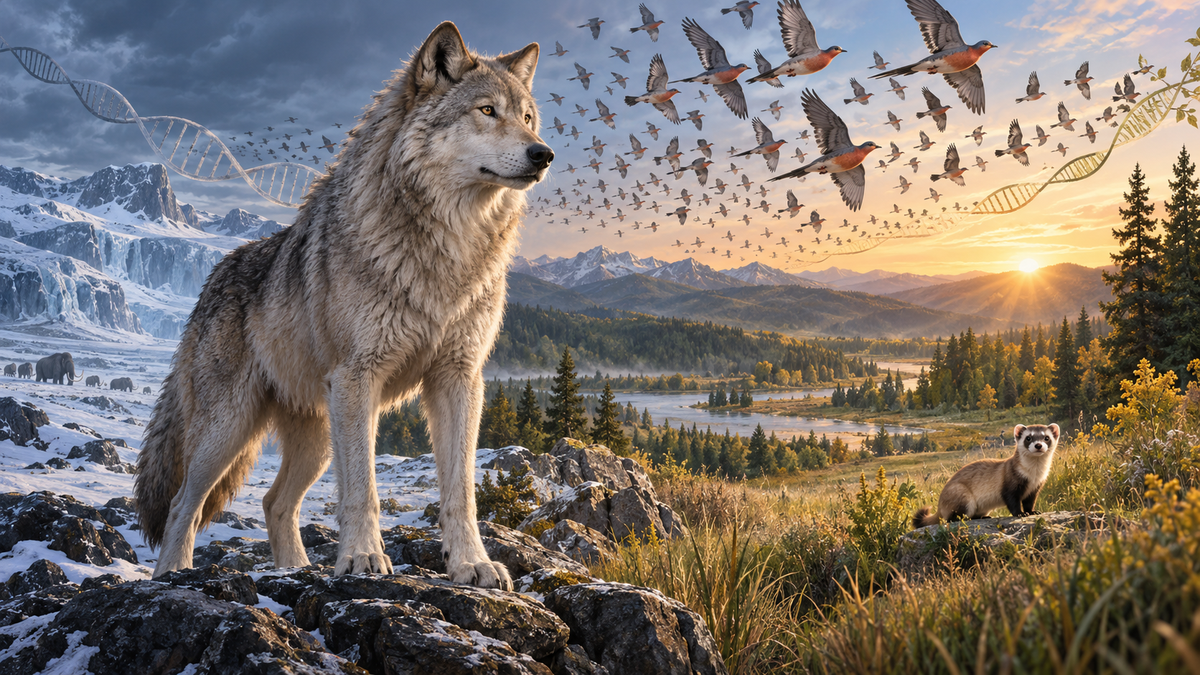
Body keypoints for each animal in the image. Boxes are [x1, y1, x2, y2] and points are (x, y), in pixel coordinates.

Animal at [134, 22, 551, 590]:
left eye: (527, 118)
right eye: (487, 111)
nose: (543, 154)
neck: (450, 247)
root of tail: (212, 278)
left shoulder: (459, 379)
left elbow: (461, 491)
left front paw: (473, 564)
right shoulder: (358, 379)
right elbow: (362, 491)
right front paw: (362, 559)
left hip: (315, 437)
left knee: (274, 503)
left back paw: (295, 570)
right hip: (230, 430)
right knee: (183, 503)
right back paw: (173, 575)